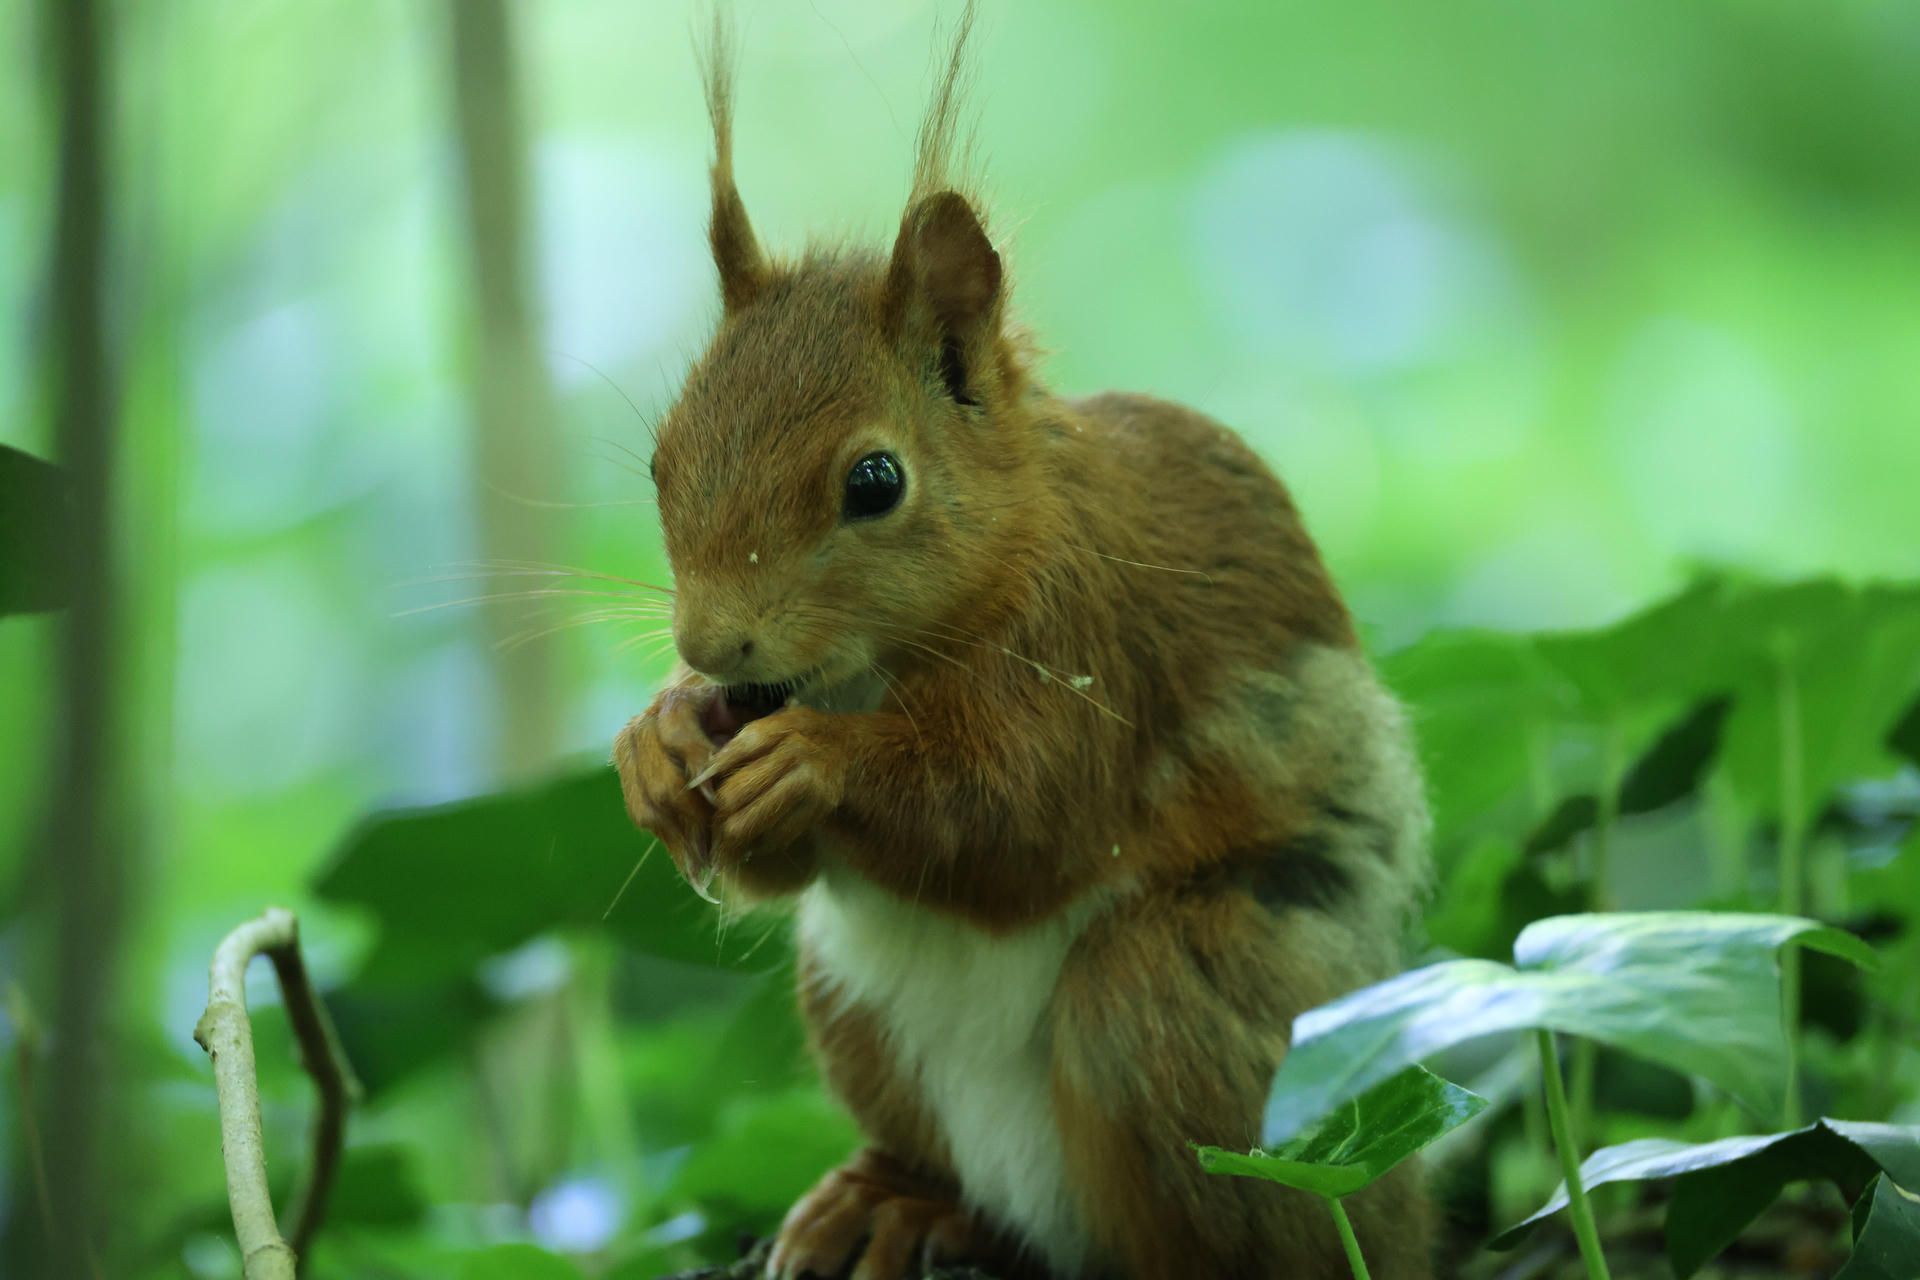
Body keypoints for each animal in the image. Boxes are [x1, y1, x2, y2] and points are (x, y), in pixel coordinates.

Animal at [613, 8, 1433, 1279]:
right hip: (847, 1003)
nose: (716, 645)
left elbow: (1020, 817)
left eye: (875, 480)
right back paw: (900, 1201)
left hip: (1211, 1014)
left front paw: (814, 762)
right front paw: (656, 743)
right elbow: (775, 865)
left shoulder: (1098, 637)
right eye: (661, 462)